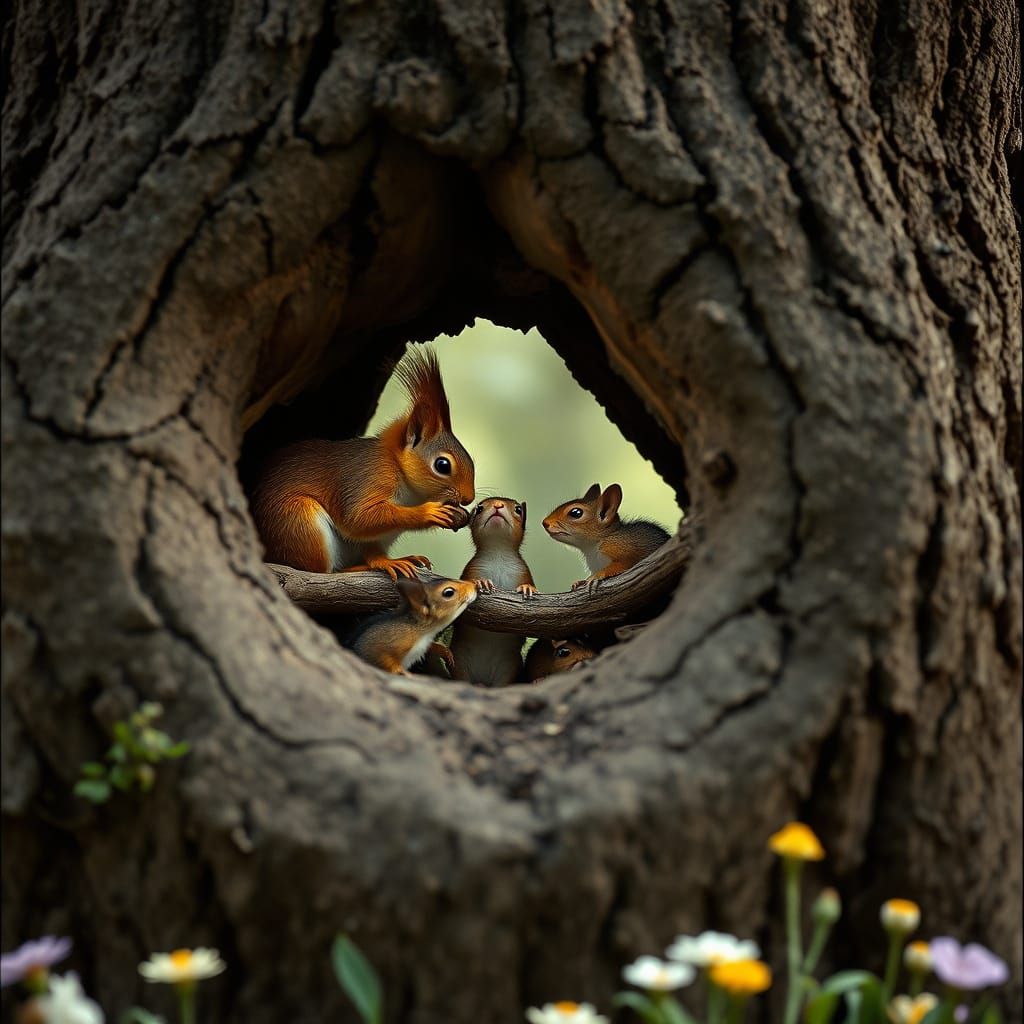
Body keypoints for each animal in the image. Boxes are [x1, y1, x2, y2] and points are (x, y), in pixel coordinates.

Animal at [250, 347, 474, 580]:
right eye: (442, 465)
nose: (468, 498)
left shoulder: (378, 537)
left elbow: (372, 546)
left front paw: (389, 560)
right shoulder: (369, 478)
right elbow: (359, 518)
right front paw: (428, 513)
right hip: (299, 521)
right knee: (320, 571)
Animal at [349, 576, 478, 675]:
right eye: (449, 592)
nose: (474, 586)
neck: (422, 632)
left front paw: (445, 652)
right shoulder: (386, 642)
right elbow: (383, 659)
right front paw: (404, 672)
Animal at [450, 497, 537, 686]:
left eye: (518, 509)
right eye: (479, 509)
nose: (498, 505)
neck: (498, 552)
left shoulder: (523, 572)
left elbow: (529, 583)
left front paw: (528, 588)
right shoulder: (471, 569)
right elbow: (466, 582)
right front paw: (480, 582)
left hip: (509, 666)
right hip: (459, 661)